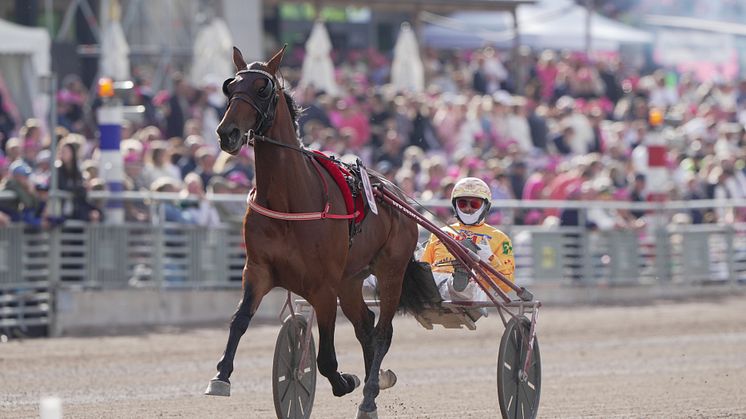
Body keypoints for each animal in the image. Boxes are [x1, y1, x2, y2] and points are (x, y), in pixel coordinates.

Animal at [203, 44, 434, 418]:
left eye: (262, 88)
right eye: (230, 85)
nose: (228, 133)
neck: (289, 201)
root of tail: (393, 193)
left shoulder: (322, 286)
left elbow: (325, 358)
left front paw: (345, 381)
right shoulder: (258, 270)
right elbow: (239, 319)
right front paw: (221, 375)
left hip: (390, 271)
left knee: (382, 331)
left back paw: (369, 392)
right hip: (350, 281)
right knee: (365, 325)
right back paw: (373, 389)